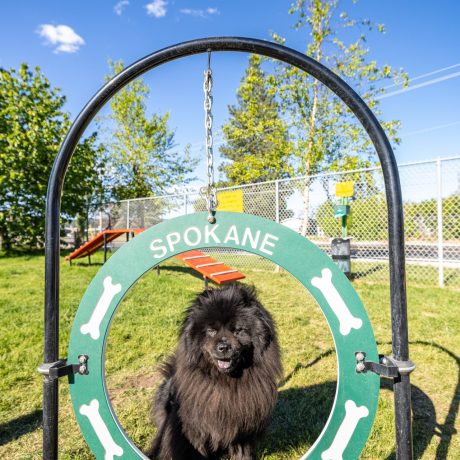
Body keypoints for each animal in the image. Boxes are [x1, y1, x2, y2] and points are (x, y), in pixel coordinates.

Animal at [149, 282, 282, 458]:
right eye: (211, 331)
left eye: (237, 330)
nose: (224, 347)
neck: (224, 382)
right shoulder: (193, 427)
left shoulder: (243, 427)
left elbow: (242, 450)